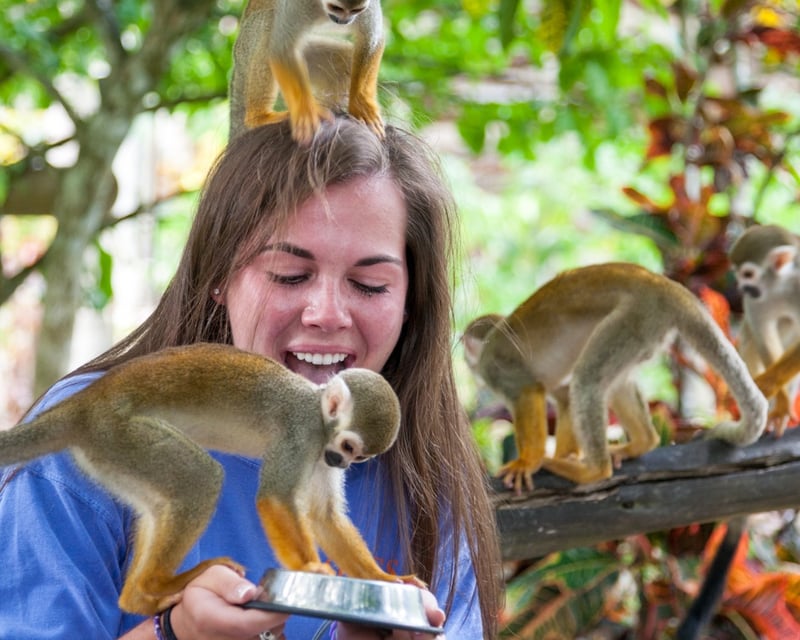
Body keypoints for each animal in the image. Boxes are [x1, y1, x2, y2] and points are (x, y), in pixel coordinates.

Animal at [0, 342, 421, 615]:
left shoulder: (318, 452)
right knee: (200, 479)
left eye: (359, 456)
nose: (340, 462)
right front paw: (309, 568)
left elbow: (324, 517)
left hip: (110, 452)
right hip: (120, 433)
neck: (319, 417)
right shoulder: (301, 432)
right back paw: (159, 583)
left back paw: (137, 597)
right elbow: (274, 497)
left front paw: (383, 578)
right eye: (348, 446)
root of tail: (85, 404)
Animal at [229, 0, 385, 144]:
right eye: (336, 8)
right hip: (246, 47)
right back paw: (259, 117)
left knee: (344, 61)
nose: (344, 21)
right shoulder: (297, 4)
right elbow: (282, 49)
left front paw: (361, 106)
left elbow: (371, 39)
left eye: (356, 10)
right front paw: (305, 113)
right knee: (268, 23)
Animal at [462, 263, 768, 492]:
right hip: (647, 331)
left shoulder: (497, 369)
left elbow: (530, 389)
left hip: (636, 316)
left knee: (587, 380)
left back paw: (593, 471)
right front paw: (567, 454)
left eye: (465, 345)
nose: (464, 358)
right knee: (611, 382)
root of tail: (667, 286)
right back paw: (642, 442)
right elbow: (564, 397)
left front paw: (528, 461)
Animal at [729, 223, 800, 434]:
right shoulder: (755, 299)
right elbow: (763, 334)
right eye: (738, 274)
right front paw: (781, 403)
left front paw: (769, 385)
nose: (742, 288)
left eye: (748, 274)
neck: (780, 285)